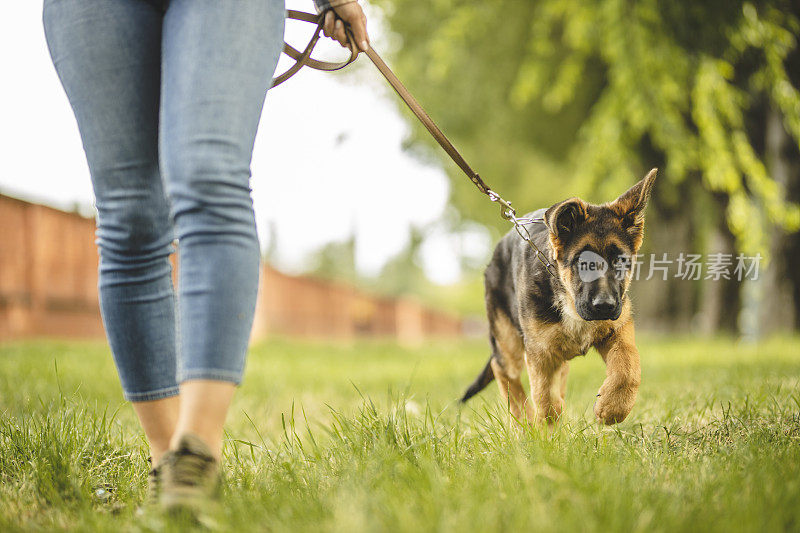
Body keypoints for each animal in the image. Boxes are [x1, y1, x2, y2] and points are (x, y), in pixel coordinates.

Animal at [462, 168, 656, 426]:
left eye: (620, 261)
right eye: (583, 263)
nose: (604, 306)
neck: (568, 300)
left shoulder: (618, 328)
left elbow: (628, 365)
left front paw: (612, 407)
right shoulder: (540, 352)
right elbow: (546, 400)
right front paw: (546, 434)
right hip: (509, 340)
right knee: (502, 370)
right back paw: (524, 422)